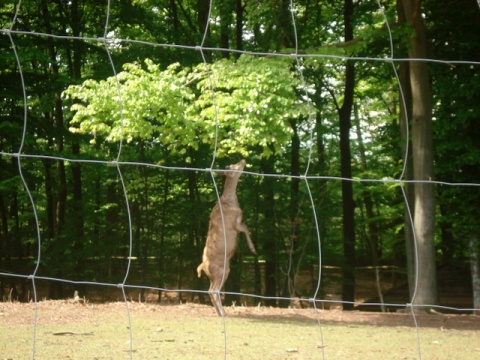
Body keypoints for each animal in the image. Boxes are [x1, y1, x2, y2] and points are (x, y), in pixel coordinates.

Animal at [196, 159, 256, 316]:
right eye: (234, 166)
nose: (243, 159)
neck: (230, 202)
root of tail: (202, 266)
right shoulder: (234, 223)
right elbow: (246, 228)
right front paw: (253, 249)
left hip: (220, 272)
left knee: (212, 290)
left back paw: (220, 312)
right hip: (220, 271)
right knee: (213, 291)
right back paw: (223, 313)